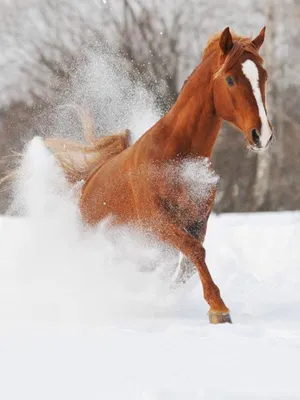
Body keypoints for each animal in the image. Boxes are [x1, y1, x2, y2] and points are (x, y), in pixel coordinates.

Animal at [35, 28, 276, 324]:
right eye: (230, 79)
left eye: (263, 76)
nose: (262, 135)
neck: (176, 155)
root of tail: (88, 183)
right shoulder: (157, 222)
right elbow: (195, 252)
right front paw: (219, 309)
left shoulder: (197, 222)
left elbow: (185, 264)